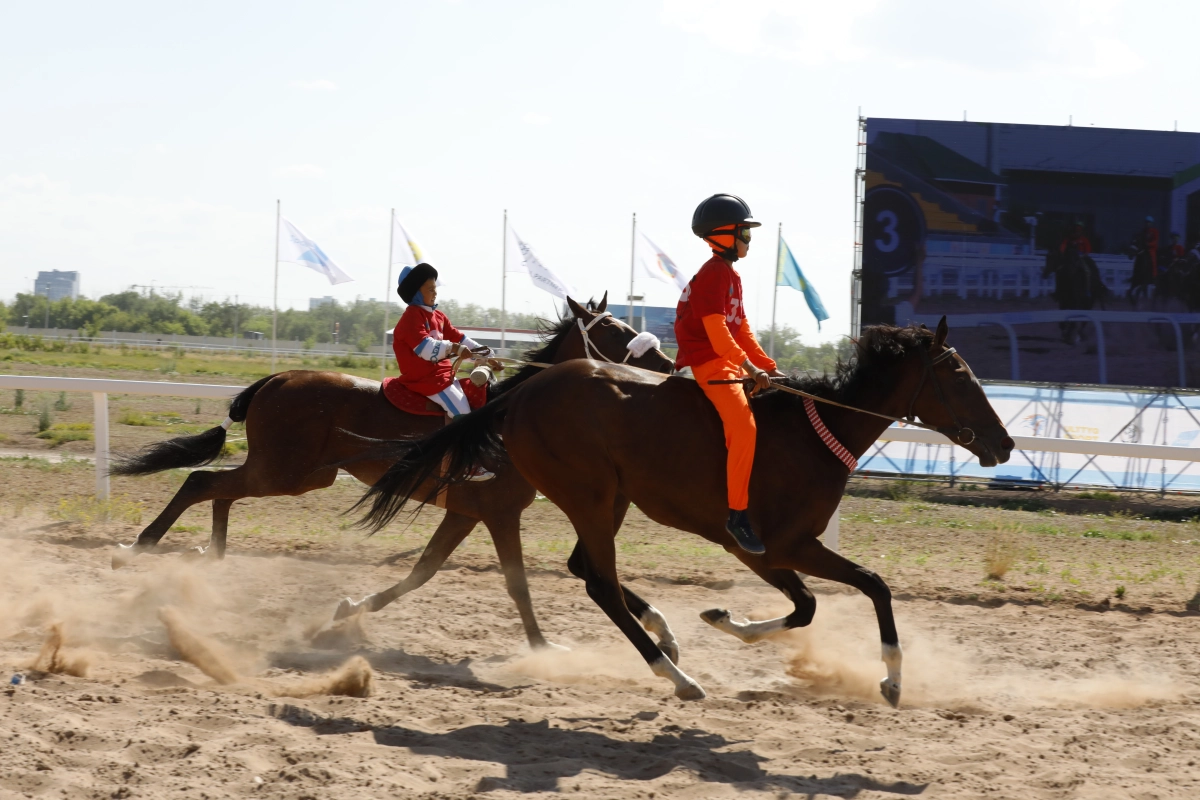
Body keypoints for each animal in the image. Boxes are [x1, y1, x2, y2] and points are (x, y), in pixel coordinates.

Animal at [111, 293, 676, 652]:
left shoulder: (467, 514)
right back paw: (143, 544)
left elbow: (422, 570)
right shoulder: (498, 513)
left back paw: (213, 555)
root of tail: (279, 376)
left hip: (291, 475)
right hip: (283, 474)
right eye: (616, 330)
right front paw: (541, 645)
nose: (668, 365)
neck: (507, 418)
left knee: (219, 489)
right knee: (201, 482)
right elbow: (516, 583)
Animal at [355, 319, 1012, 705]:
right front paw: (894, 677)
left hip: (611, 498)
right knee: (600, 583)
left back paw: (667, 645)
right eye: (959, 373)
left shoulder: (776, 550)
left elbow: (811, 606)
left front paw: (724, 619)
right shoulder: (775, 545)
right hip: (590, 495)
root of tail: (518, 395)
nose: (1003, 443)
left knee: (589, 570)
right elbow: (866, 587)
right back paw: (674, 675)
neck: (813, 431)